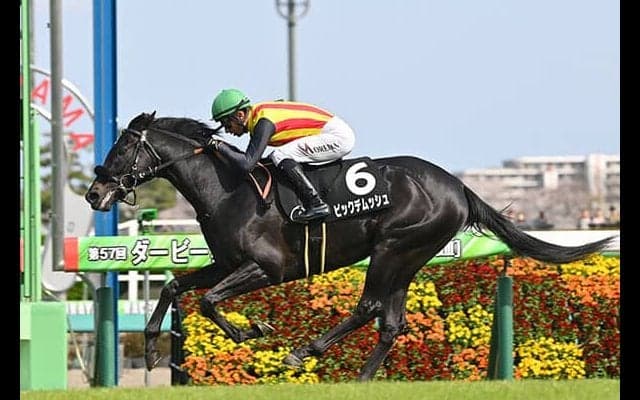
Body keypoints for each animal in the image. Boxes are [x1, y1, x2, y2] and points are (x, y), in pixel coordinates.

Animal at [85, 111, 614, 381]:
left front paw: (253, 329)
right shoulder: (227, 261)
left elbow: (210, 301)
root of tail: (458, 186)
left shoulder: (266, 267)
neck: (228, 187)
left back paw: (306, 351)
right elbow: (175, 287)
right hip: (409, 257)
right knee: (391, 321)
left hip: (394, 248)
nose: (95, 193)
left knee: (370, 306)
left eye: (123, 146)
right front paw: (150, 348)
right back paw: (361, 378)